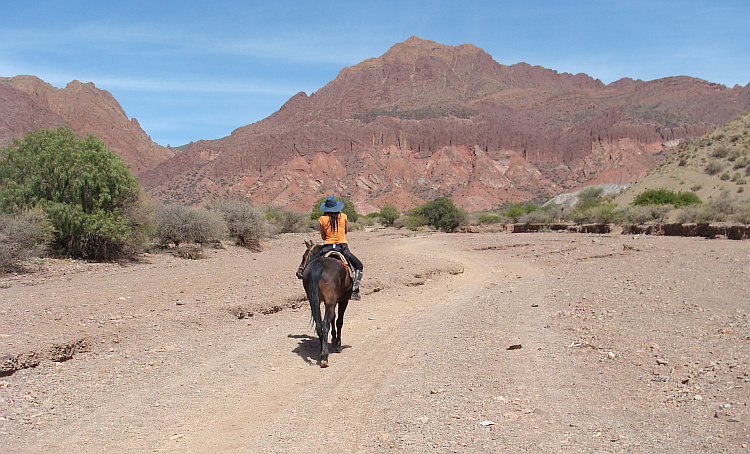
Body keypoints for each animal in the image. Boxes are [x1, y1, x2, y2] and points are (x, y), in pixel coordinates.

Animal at [296, 239, 354, 368]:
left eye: (303, 257)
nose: (298, 273)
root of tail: (319, 264)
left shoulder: (331, 301)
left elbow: (333, 319)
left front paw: (333, 339)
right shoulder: (343, 300)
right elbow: (338, 321)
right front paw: (337, 344)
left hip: (315, 301)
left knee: (319, 324)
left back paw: (322, 351)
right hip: (331, 302)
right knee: (325, 323)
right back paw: (324, 357)